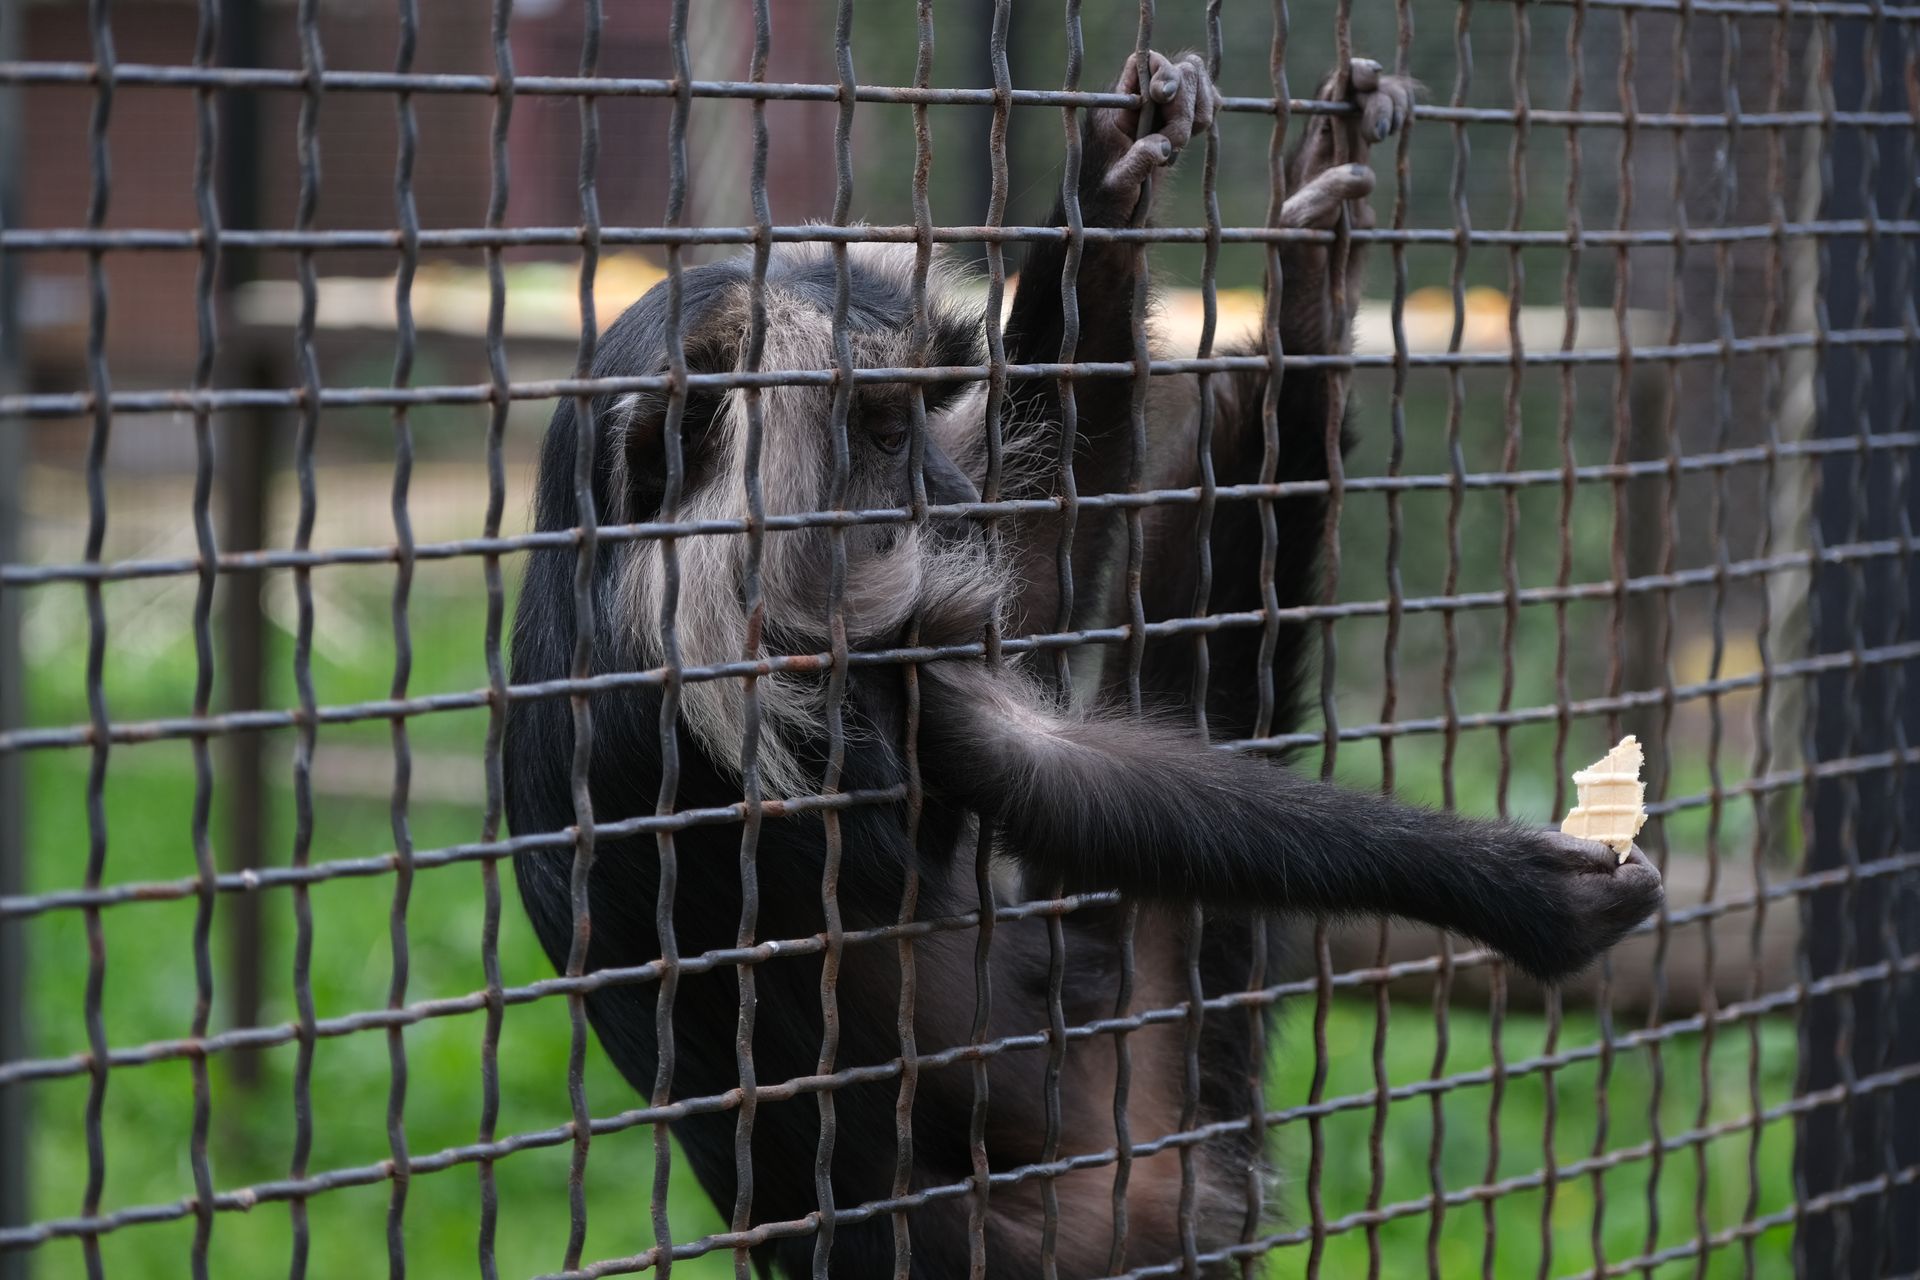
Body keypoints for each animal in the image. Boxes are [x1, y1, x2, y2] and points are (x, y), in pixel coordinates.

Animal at [505, 52, 1663, 1279]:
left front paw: (1105, 201)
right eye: (881, 433)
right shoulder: (749, 683)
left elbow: (1036, 560)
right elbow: (1039, 764)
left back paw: (1304, 330)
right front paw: (1516, 886)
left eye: (921, 419)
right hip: (1094, 1211)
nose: (947, 496)